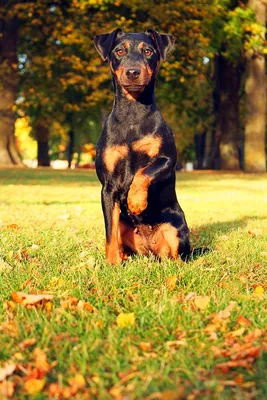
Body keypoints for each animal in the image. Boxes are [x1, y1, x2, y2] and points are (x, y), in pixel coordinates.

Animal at [93, 28, 191, 266]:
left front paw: (136, 202)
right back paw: (122, 257)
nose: (132, 72)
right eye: (119, 51)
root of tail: (150, 250)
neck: (132, 112)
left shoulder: (168, 159)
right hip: (124, 225)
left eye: (148, 51)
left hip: (176, 227)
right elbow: (110, 234)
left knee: (179, 256)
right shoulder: (108, 187)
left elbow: (144, 172)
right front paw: (111, 263)